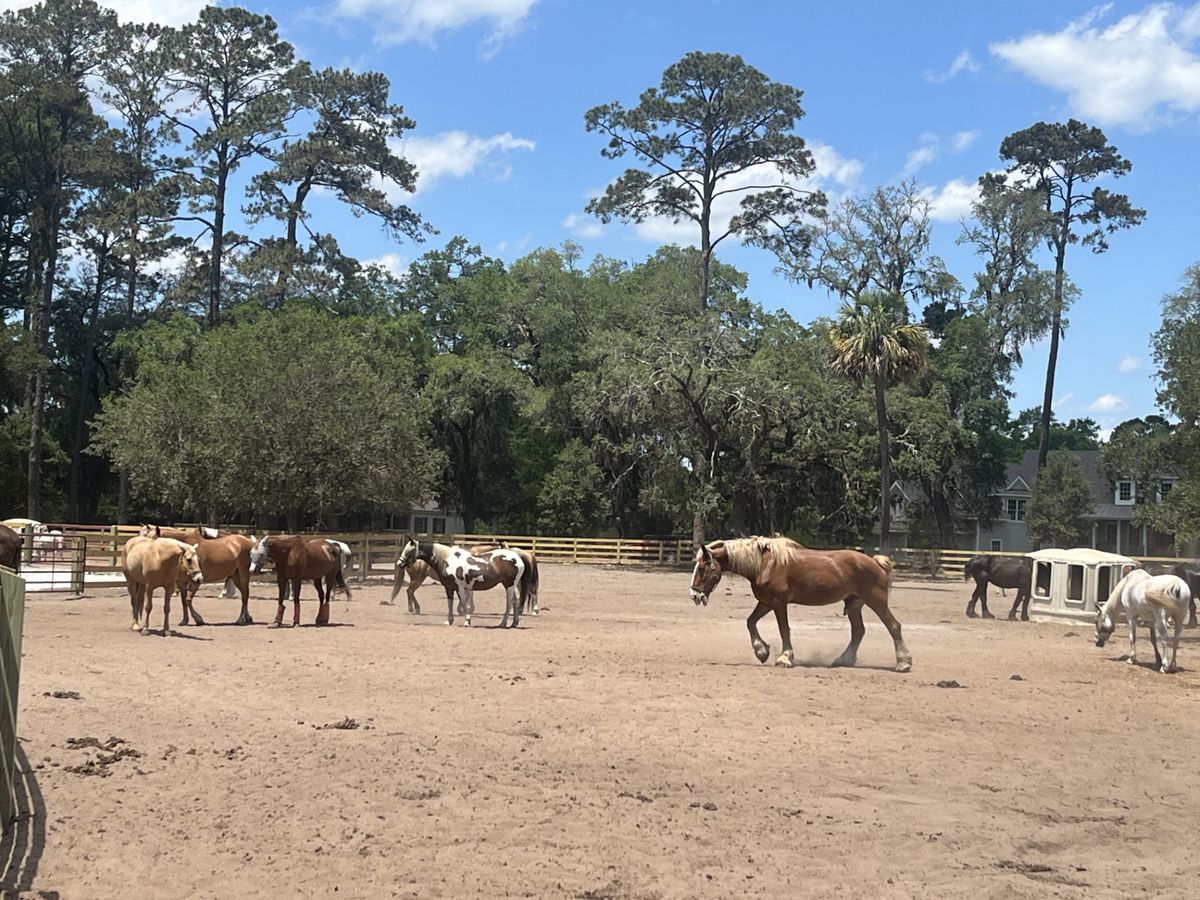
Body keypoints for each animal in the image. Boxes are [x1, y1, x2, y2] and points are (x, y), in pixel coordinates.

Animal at [396, 538, 533, 628]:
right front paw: (449, 621)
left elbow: (464, 603)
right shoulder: (449, 588)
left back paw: (503, 623)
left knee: (509, 603)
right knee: (515, 602)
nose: (399, 563)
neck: (447, 560)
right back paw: (514, 623)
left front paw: (467, 621)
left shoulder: (460, 588)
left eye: (409, 551)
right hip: (509, 585)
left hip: (509, 585)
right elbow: (450, 604)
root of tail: (518, 556)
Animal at [689, 536, 912, 672]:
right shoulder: (765, 602)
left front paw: (785, 658)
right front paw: (761, 651)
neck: (764, 563)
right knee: (858, 631)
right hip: (855, 604)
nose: (694, 595)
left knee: (893, 626)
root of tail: (876, 562)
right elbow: (750, 622)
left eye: (702, 567)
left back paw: (903, 662)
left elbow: (783, 629)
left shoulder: (778, 603)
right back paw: (844, 660)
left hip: (877, 601)